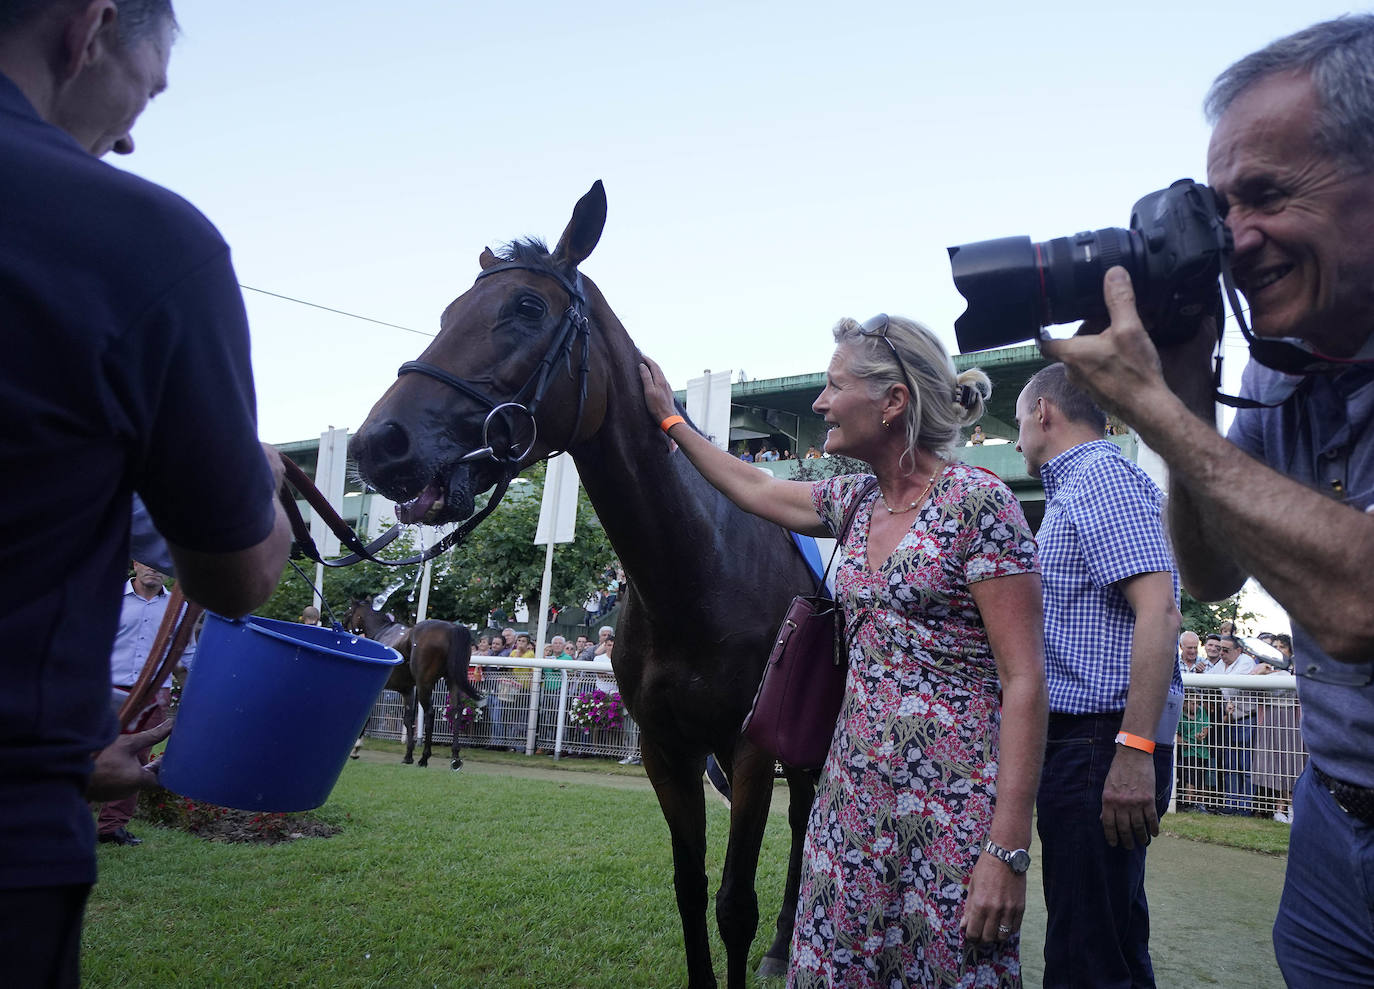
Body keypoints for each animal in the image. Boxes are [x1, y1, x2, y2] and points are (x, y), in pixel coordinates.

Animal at [342, 596, 478, 774]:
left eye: (348, 612)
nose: (343, 626)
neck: (382, 632)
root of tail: (452, 628)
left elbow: (367, 717)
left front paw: (356, 748)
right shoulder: (407, 690)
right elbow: (408, 719)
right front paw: (408, 755)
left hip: (424, 684)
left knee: (429, 713)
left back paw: (425, 757)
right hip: (453, 681)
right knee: (456, 711)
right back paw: (455, 758)